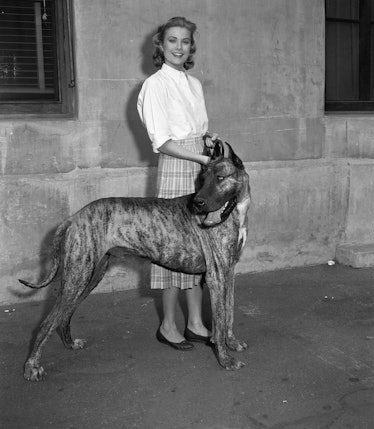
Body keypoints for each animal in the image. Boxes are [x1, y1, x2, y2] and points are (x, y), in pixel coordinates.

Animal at [19, 140, 250, 382]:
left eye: (221, 178)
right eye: (202, 179)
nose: (197, 203)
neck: (235, 213)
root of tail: (74, 217)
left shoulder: (229, 272)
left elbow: (229, 312)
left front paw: (232, 343)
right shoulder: (217, 276)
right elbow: (220, 321)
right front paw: (225, 359)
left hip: (89, 276)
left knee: (64, 315)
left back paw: (69, 343)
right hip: (77, 276)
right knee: (48, 321)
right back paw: (32, 366)